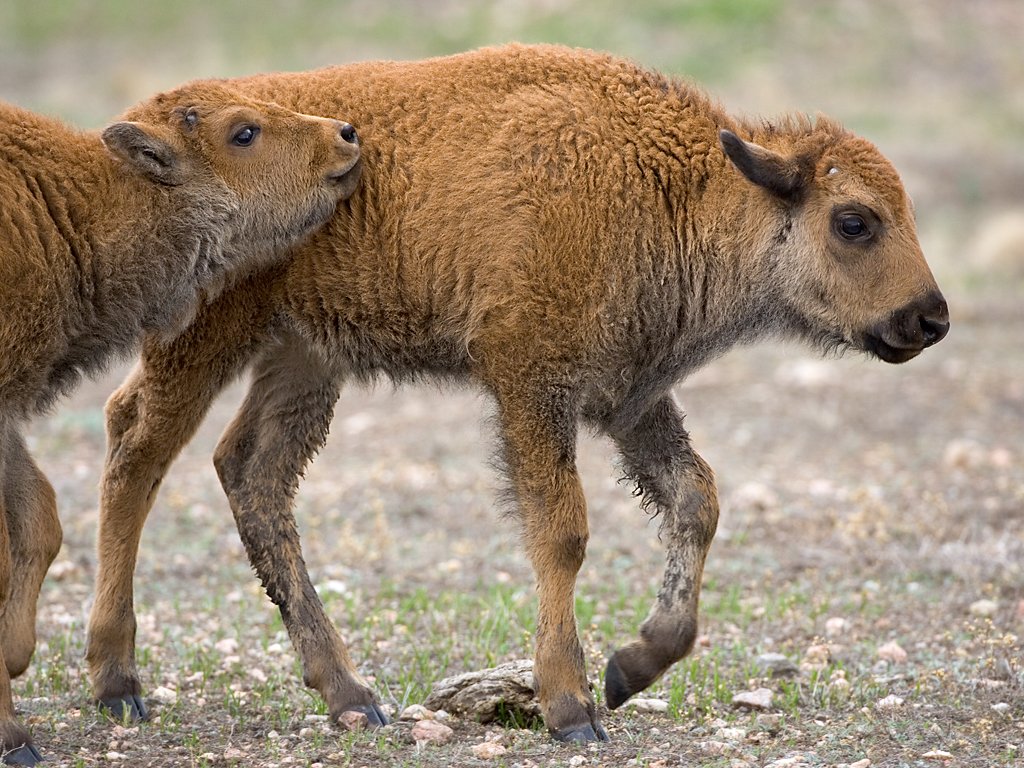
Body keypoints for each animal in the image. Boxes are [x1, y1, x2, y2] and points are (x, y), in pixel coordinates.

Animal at [0, 85, 360, 765]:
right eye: (243, 132)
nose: (346, 134)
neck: (69, 206)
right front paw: (14, 732)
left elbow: (40, 520)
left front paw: (12, 660)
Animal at [81, 40, 950, 745]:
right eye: (854, 221)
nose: (930, 318)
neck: (674, 187)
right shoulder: (532, 385)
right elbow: (562, 530)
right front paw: (571, 709)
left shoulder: (630, 400)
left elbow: (695, 499)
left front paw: (631, 667)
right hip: (205, 337)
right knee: (138, 448)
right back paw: (119, 684)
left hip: (304, 358)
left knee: (251, 472)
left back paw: (350, 696)